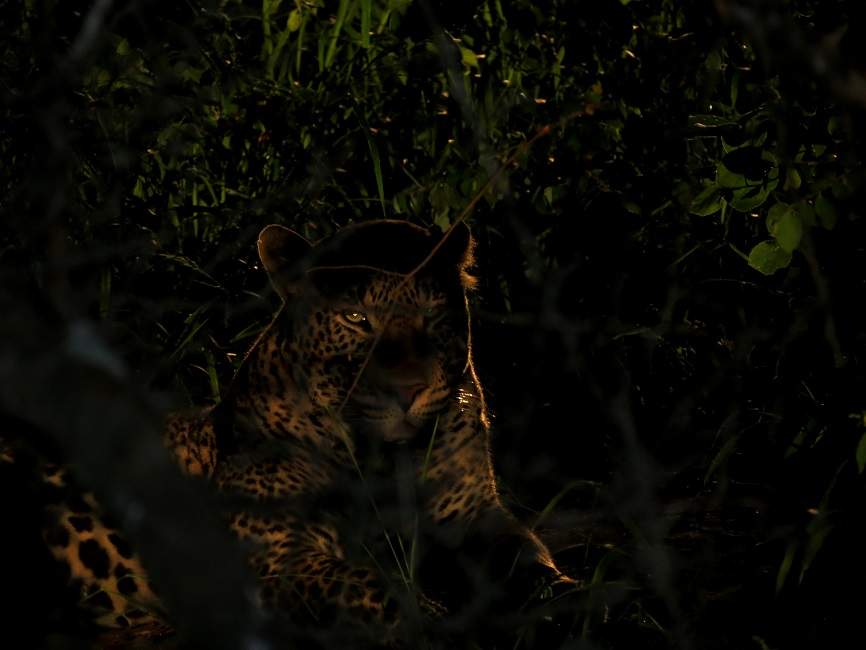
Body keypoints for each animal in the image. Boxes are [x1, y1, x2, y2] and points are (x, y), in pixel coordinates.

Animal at [16, 220, 573, 645]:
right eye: (356, 318)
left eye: (432, 314)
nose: (408, 389)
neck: (386, 461)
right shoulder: (276, 554)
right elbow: (372, 588)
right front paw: (444, 627)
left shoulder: (474, 514)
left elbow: (530, 557)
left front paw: (565, 599)